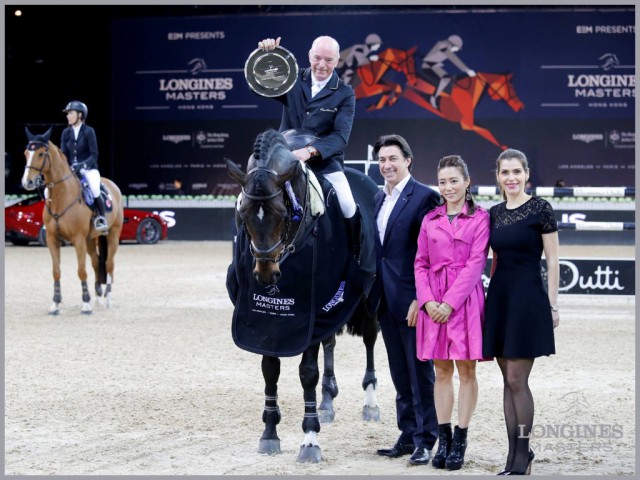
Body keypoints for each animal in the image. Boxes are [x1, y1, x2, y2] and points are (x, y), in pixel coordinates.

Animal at [21, 127, 124, 316]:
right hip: (91, 239)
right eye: (26, 153)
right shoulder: (53, 239)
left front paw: (86, 304)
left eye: (40, 153)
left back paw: (107, 299)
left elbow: (81, 271)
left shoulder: (78, 239)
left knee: (109, 264)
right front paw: (55, 304)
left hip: (112, 234)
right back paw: (97, 297)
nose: (27, 182)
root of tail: (112, 185)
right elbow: (56, 271)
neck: (62, 196)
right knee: (96, 262)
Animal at [224, 129, 378, 464]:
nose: (267, 275)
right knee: (330, 341)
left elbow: (307, 372)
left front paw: (309, 440)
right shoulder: (265, 319)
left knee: (370, 337)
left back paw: (371, 403)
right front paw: (269, 433)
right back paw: (327, 401)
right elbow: (270, 369)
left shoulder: (309, 308)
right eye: (243, 214)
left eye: (283, 213)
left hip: (369, 292)